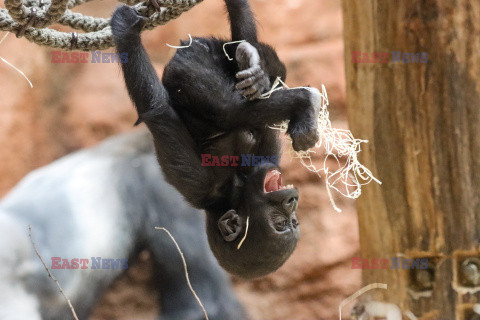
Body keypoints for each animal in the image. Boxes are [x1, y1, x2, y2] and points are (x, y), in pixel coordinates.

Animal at [110, 0, 320, 278]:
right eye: (279, 222)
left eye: (291, 222)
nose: (291, 200)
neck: (236, 187)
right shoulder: (204, 185)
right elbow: (160, 110)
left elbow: (158, 109)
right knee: (229, 107)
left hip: (192, 62)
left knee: (228, 106)